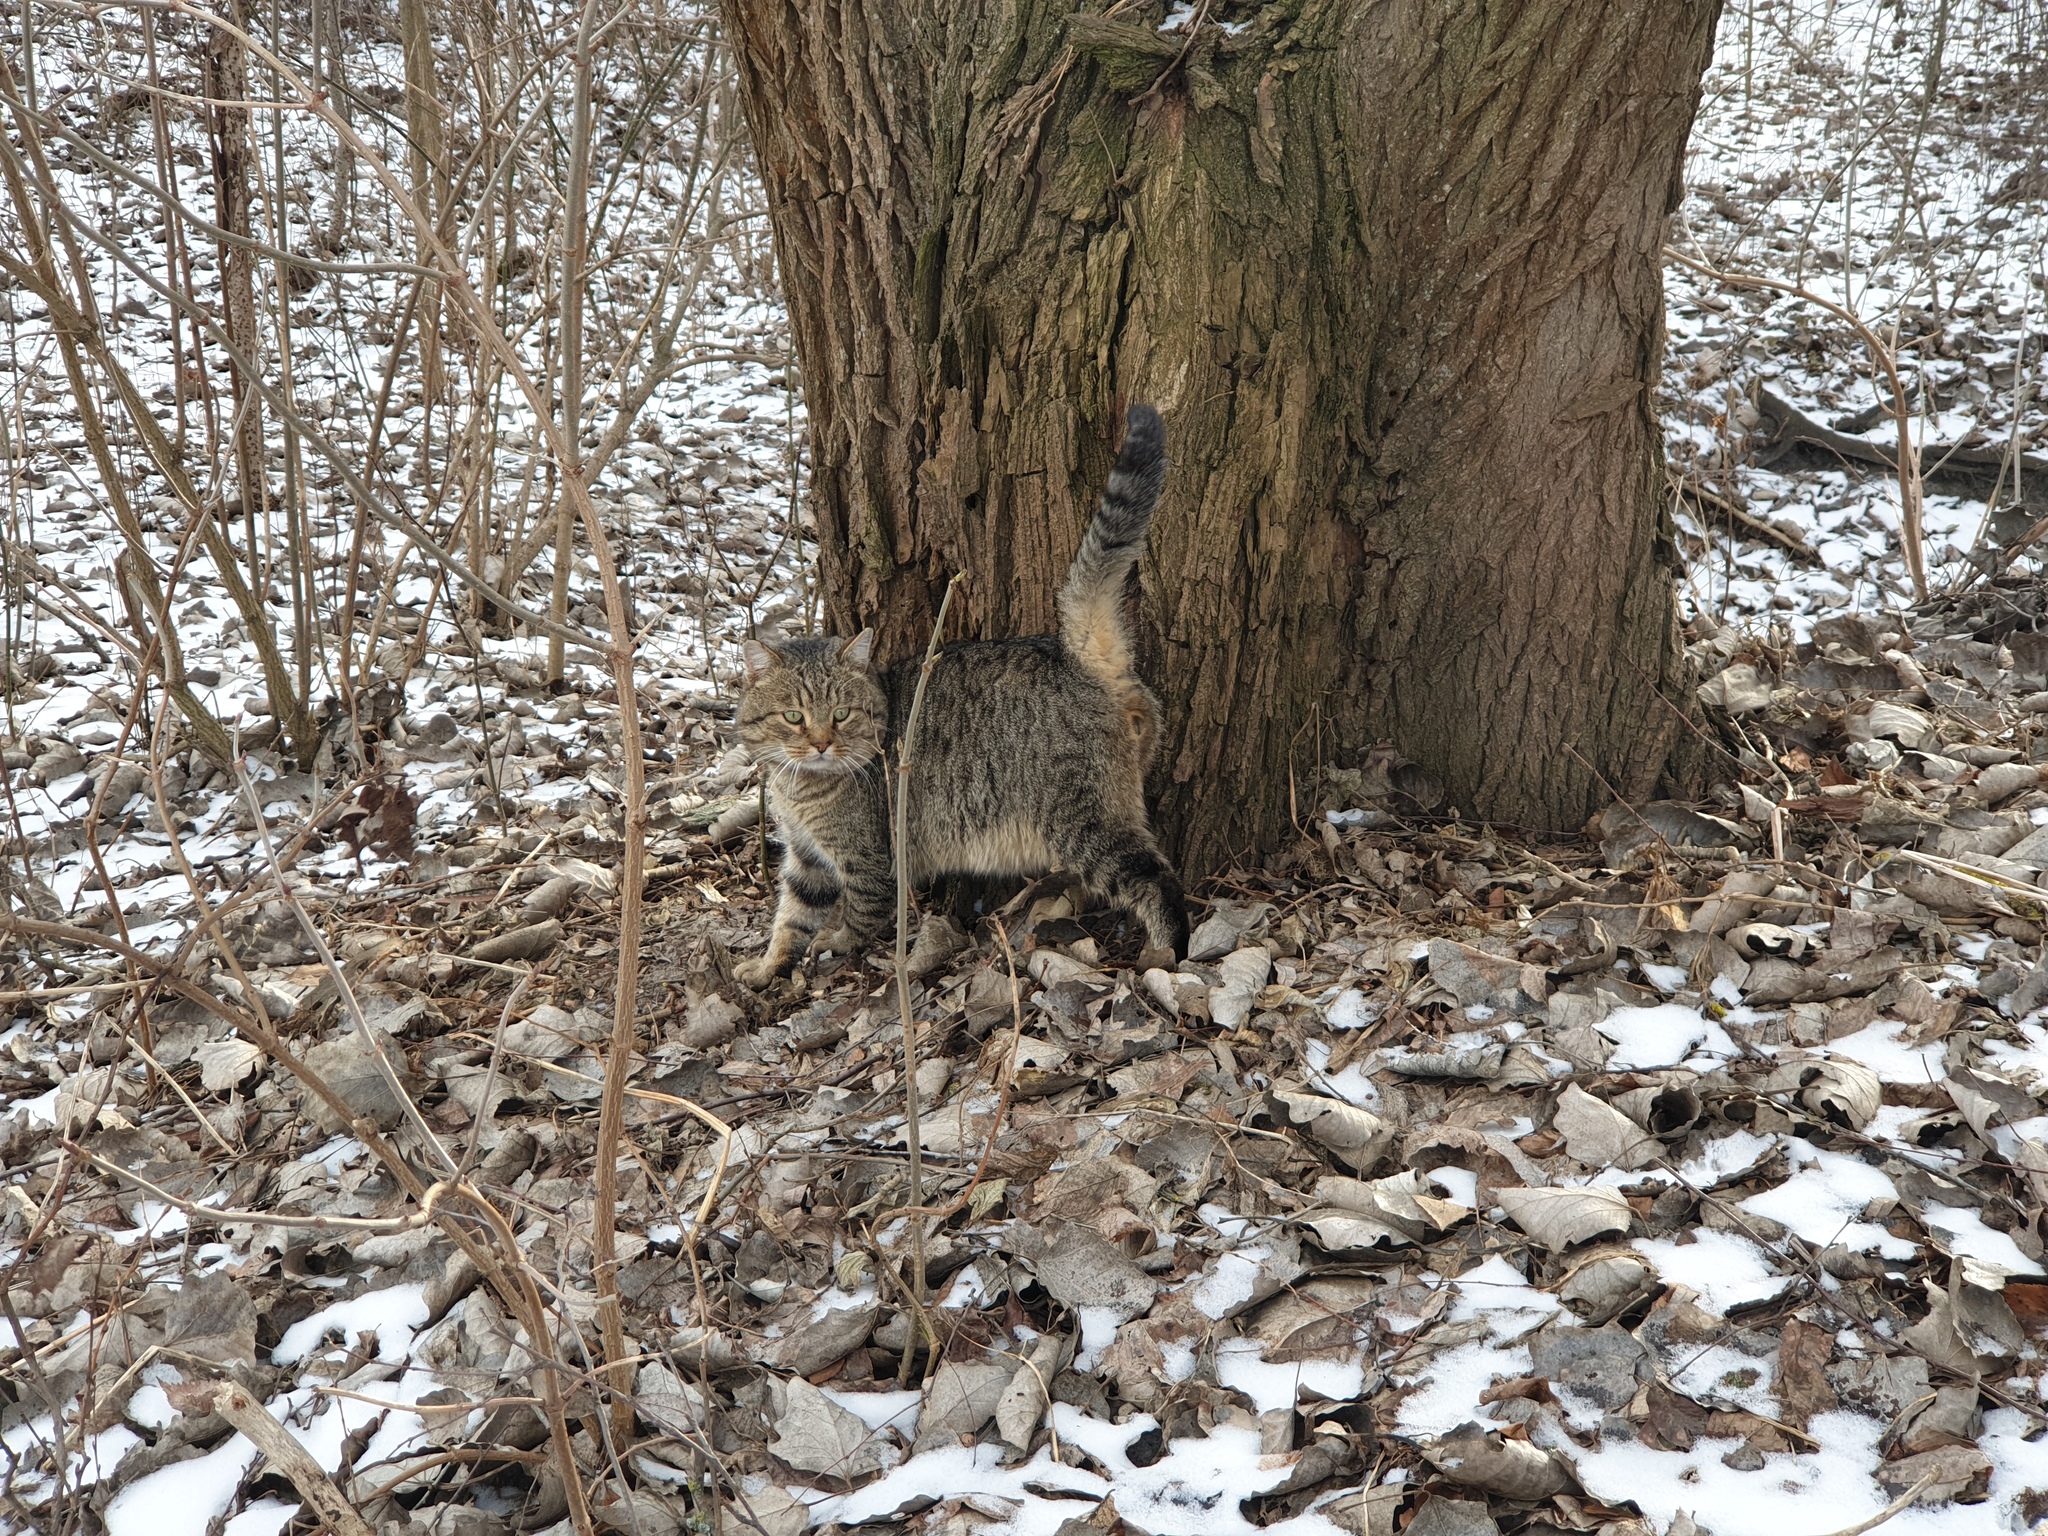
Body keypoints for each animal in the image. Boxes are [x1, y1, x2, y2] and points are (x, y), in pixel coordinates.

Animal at [733, 409, 1187, 987]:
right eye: (793, 716)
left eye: (841, 714)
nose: (819, 744)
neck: (802, 789)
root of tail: (1073, 652)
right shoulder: (806, 859)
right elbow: (790, 916)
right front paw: (768, 965)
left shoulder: (870, 858)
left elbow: (860, 913)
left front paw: (836, 943)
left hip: (1089, 823)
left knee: (1157, 881)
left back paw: (1169, 951)